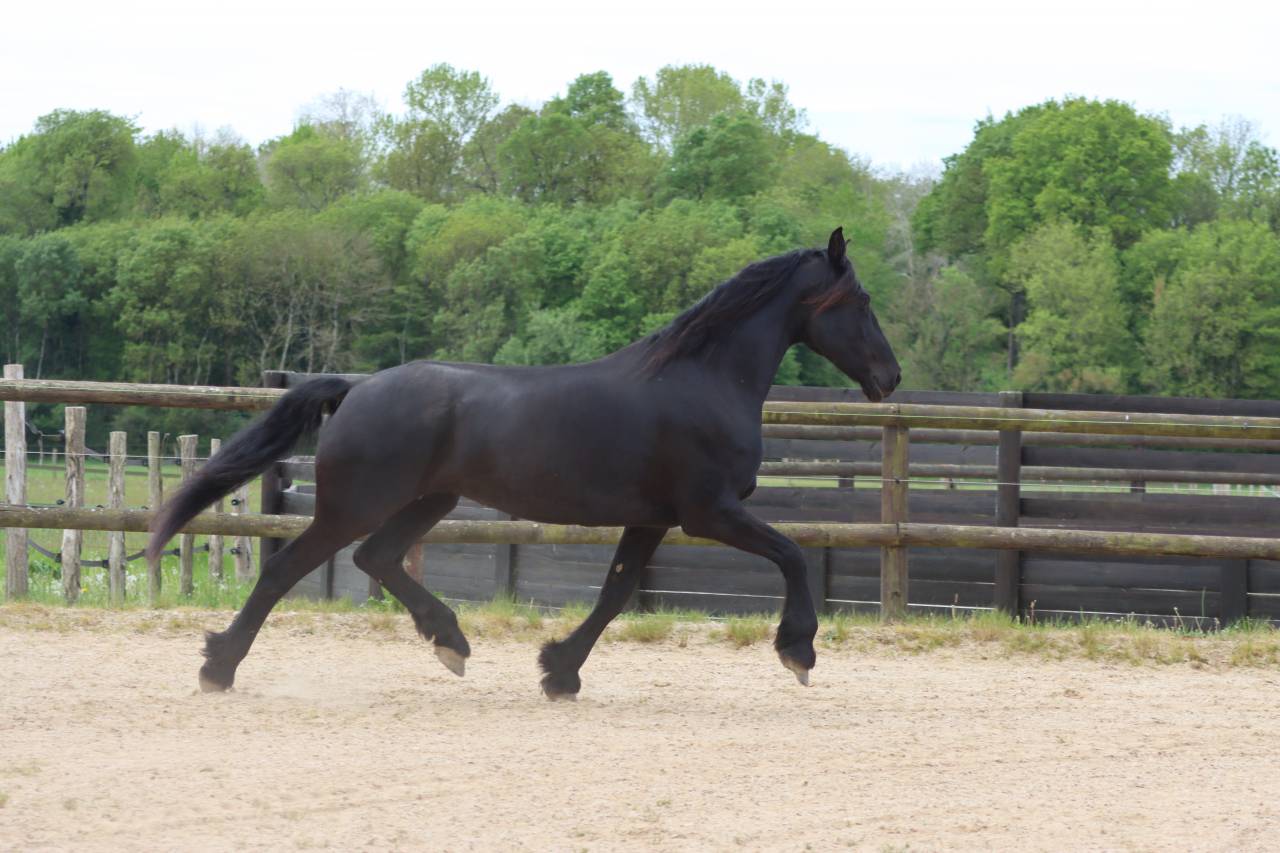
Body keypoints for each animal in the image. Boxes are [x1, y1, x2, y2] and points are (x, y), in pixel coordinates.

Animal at [147, 227, 901, 699]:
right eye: (862, 301)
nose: (890, 377)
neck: (702, 379)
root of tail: (356, 388)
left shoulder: (653, 519)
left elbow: (616, 593)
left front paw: (559, 672)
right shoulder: (708, 512)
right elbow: (793, 553)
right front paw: (798, 651)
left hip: (430, 500)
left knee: (377, 558)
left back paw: (451, 642)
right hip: (355, 504)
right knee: (285, 570)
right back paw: (219, 668)